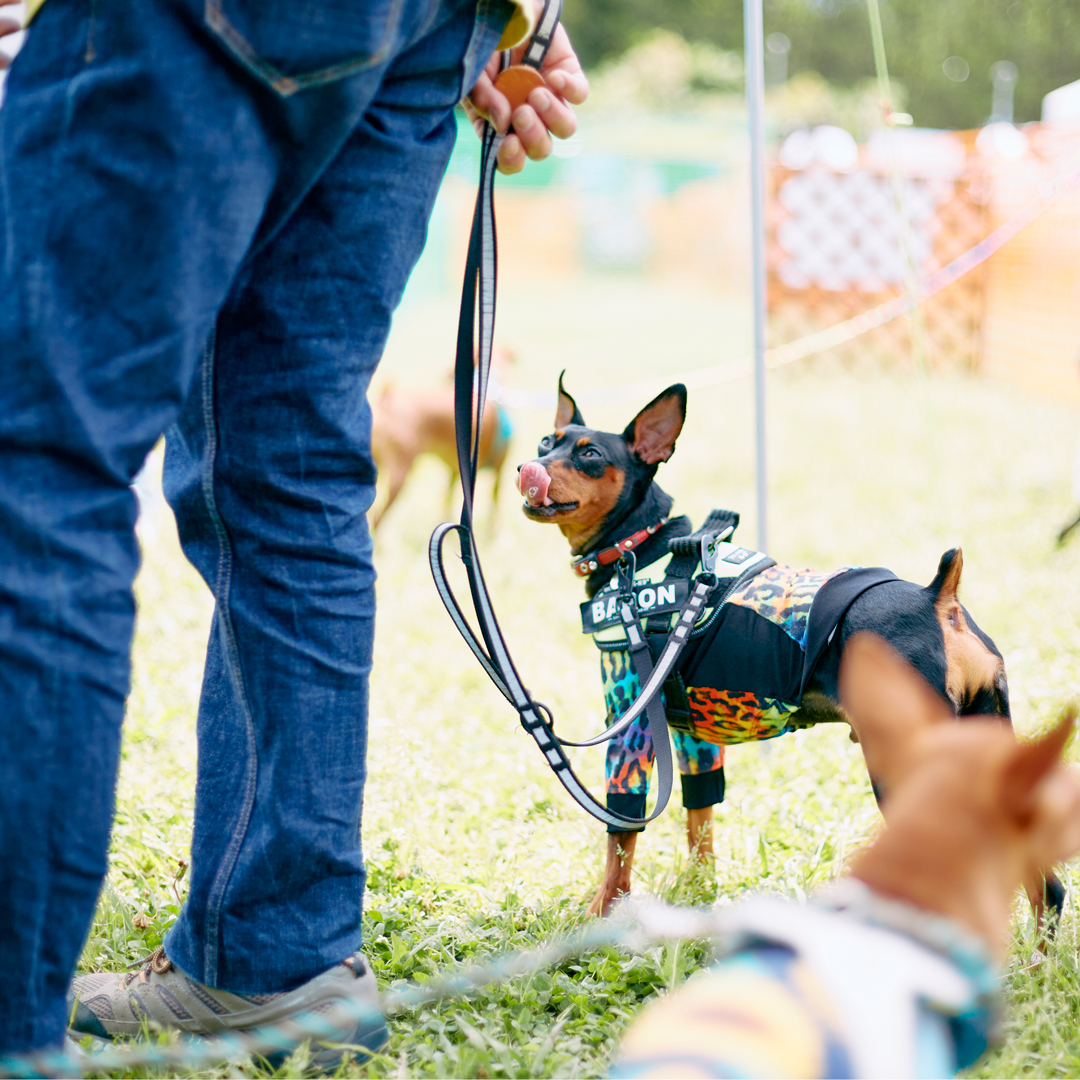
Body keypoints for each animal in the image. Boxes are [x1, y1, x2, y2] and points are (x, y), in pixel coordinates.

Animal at [516, 378, 1062, 920]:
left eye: (589, 454)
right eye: (547, 442)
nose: (528, 467)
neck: (638, 548)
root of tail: (938, 599)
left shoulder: (631, 724)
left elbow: (621, 835)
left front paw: (601, 913)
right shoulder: (691, 736)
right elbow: (700, 815)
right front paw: (700, 889)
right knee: (1045, 885)